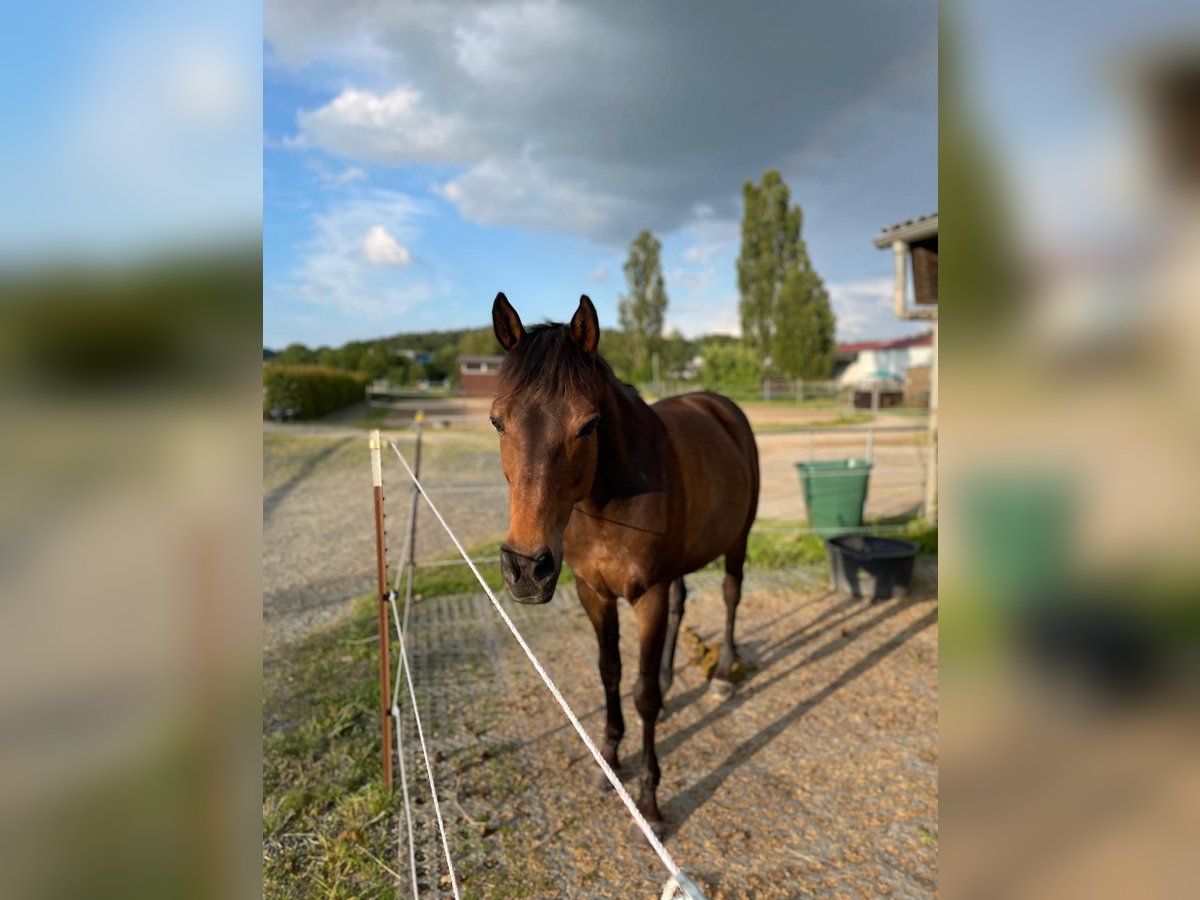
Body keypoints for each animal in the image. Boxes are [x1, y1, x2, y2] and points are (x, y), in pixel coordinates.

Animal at [487, 292, 758, 835]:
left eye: (588, 425)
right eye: (497, 421)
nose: (525, 568)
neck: (608, 502)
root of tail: (722, 406)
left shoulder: (644, 595)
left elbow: (642, 693)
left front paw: (650, 798)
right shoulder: (594, 592)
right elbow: (610, 672)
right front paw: (609, 759)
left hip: (738, 540)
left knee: (730, 595)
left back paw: (722, 675)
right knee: (681, 603)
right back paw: (676, 681)